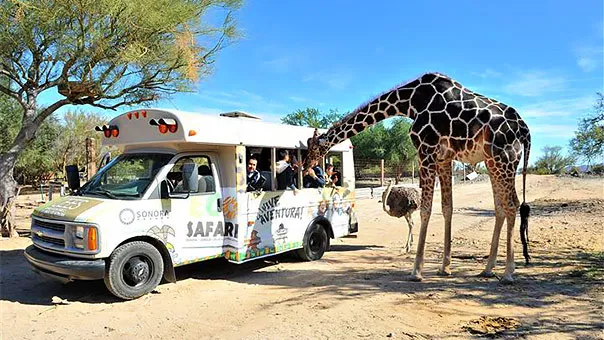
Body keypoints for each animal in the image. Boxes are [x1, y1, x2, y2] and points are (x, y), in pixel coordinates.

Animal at [304, 72, 532, 284]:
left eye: (313, 148)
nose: (306, 166)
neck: (409, 102)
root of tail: (525, 130)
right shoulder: (444, 158)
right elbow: (447, 208)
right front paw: (445, 268)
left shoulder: (426, 149)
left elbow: (426, 209)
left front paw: (416, 271)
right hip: (493, 161)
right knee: (501, 206)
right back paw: (487, 269)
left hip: (503, 158)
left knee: (511, 204)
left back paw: (508, 273)